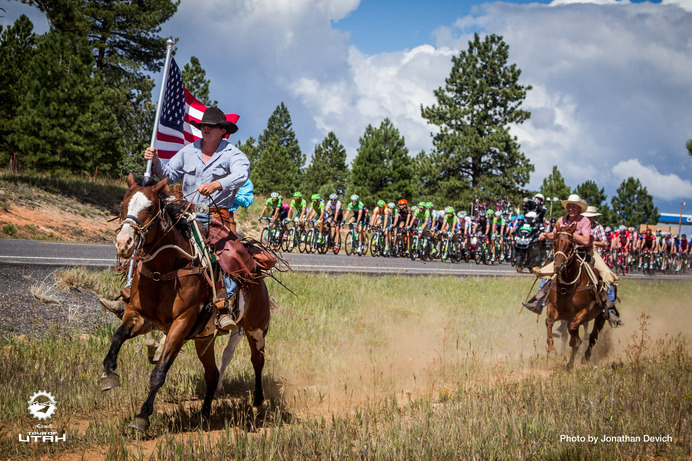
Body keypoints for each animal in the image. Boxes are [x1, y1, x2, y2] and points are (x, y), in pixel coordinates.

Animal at [101, 175, 272, 432]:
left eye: (150, 207)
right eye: (123, 205)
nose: (124, 243)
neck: (164, 271)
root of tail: (255, 272)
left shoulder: (181, 324)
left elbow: (159, 372)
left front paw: (142, 416)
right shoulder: (138, 314)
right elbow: (117, 337)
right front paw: (109, 373)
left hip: (255, 329)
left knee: (257, 361)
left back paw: (259, 403)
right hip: (204, 340)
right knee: (212, 374)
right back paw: (205, 412)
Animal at [548, 221, 604, 368]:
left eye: (569, 244)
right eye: (554, 242)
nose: (558, 266)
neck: (568, 283)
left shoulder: (585, 310)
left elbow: (573, 330)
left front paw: (575, 342)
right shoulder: (553, 307)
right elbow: (549, 321)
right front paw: (551, 348)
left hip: (601, 316)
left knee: (593, 336)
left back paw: (585, 357)